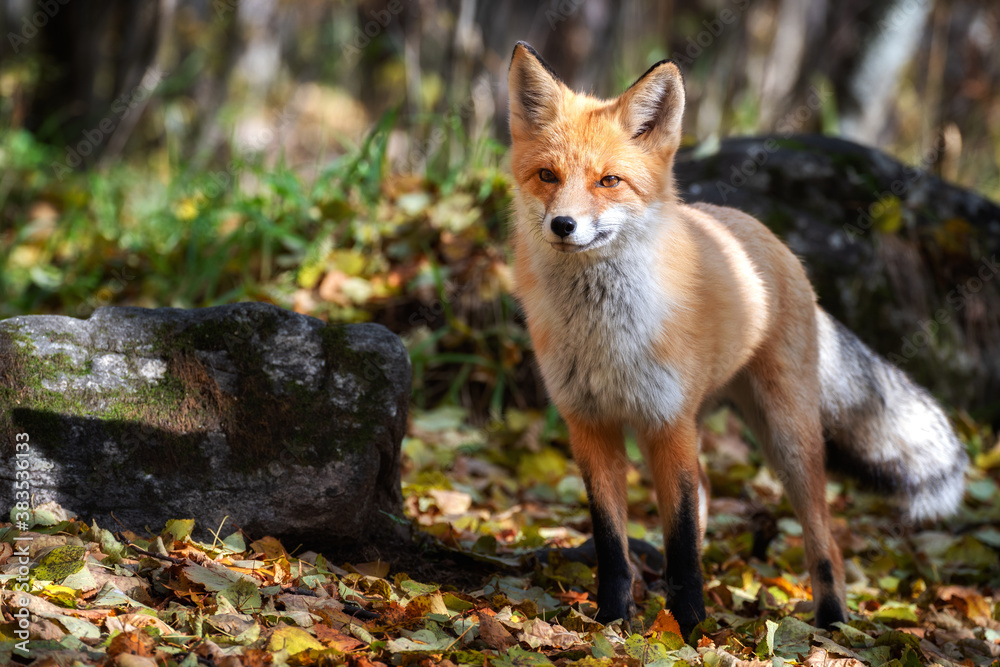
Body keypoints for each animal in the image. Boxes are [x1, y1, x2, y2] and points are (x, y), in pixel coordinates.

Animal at [508, 41, 968, 636]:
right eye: (546, 175)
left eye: (608, 181)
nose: (563, 225)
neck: (603, 336)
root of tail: (769, 239)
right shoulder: (590, 425)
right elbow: (612, 544)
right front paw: (612, 622)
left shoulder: (667, 422)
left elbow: (681, 541)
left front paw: (688, 629)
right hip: (696, 424)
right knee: (705, 493)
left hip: (786, 438)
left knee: (824, 540)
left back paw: (832, 622)